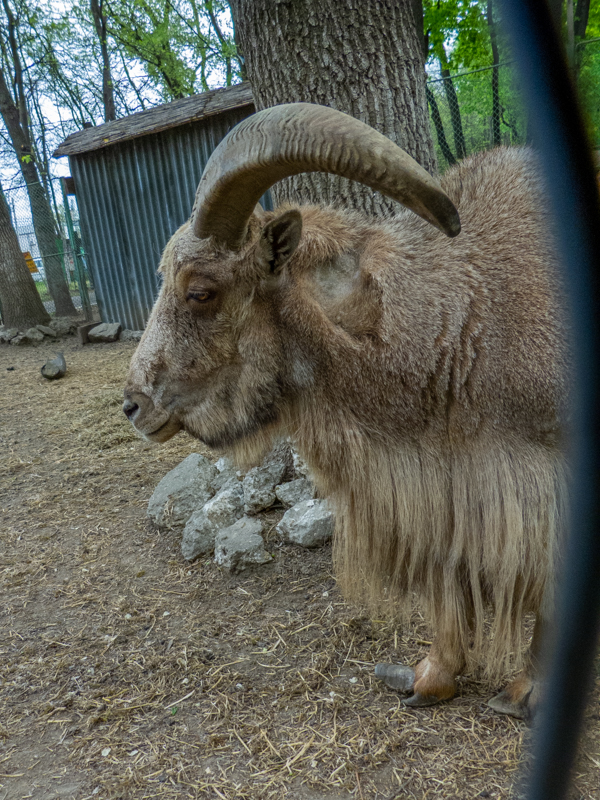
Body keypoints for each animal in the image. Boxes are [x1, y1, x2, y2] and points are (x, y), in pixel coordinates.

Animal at [123, 103, 569, 719]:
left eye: (201, 291)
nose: (134, 403)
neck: (457, 323)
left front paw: (528, 691)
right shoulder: (441, 486)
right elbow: (445, 576)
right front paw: (429, 677)